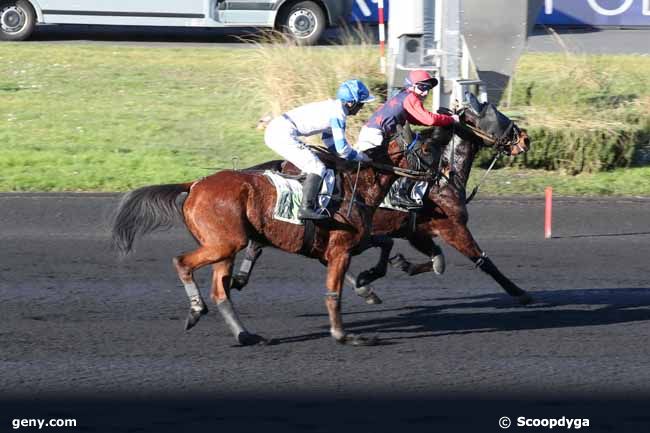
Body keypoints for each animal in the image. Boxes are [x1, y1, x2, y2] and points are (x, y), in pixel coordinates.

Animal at [109, 131, 428, 344]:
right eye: (425, 149)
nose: (435, 176)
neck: (355, 185)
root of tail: (195, 184)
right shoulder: (340, 249)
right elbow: (333, 294)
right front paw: (343, 334)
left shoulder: (354, 242)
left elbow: (385, 243)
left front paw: (371, 278)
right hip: (225, 243)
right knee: (182, 262)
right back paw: (197, 309)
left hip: (224, 247)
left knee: (220, 291)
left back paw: (245, 334)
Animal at [229, 100, 532, 306]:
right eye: (493, 115)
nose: (525, 139)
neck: (442, 176)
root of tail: (280, 164)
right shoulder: (453, 227)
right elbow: (483, 261)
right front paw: (520, 292)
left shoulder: (415, 231)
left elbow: (437, 261)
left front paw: (402, 263)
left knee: (264, 245)